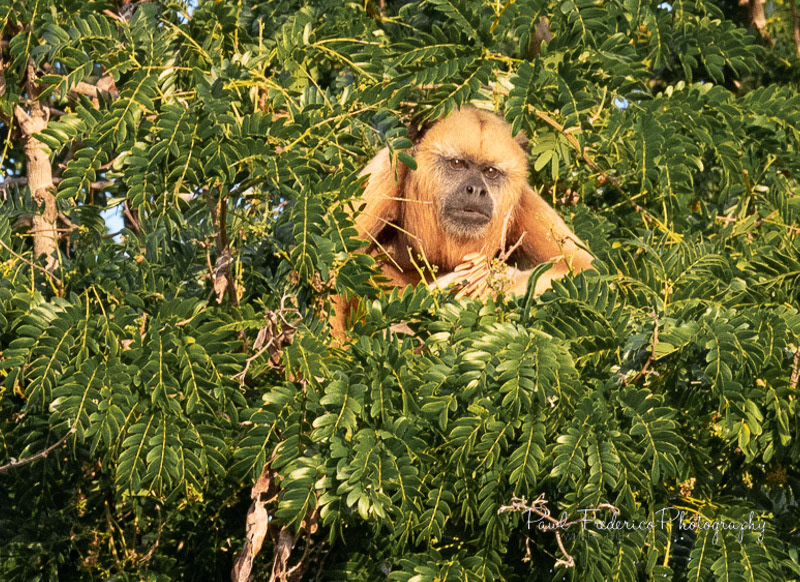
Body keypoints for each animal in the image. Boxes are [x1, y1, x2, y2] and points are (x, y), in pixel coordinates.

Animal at [331, 107, 594, 339]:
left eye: (490, 172)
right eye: (457, 164)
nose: (476, 189)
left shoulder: (523, 200)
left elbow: (586, 270)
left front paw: (488, 278)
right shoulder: (387, 171)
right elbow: (332, 277)